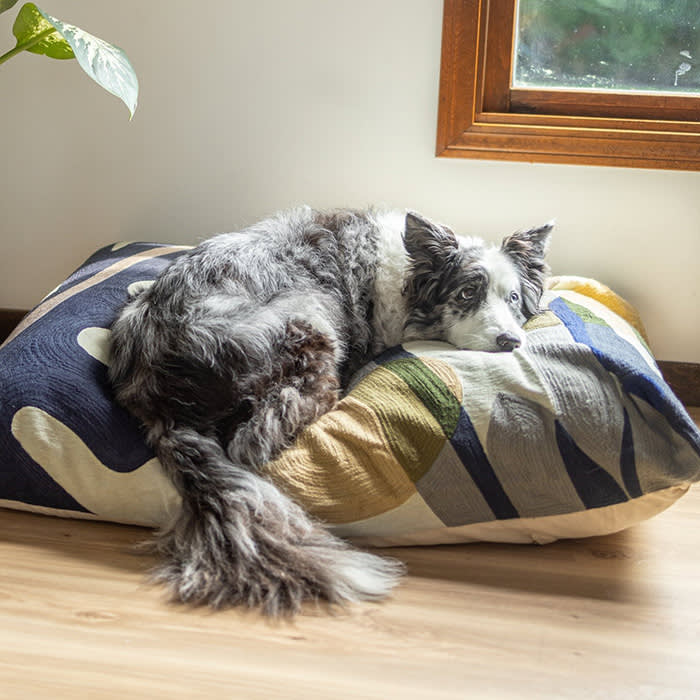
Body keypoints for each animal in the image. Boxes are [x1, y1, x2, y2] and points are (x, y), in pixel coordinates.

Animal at [108, 206, 552, 612]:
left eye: (513, 297)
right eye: (466, 293)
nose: (511, 341)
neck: (407, 277)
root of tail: (155, 388)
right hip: (312, 326)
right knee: (255, 439)